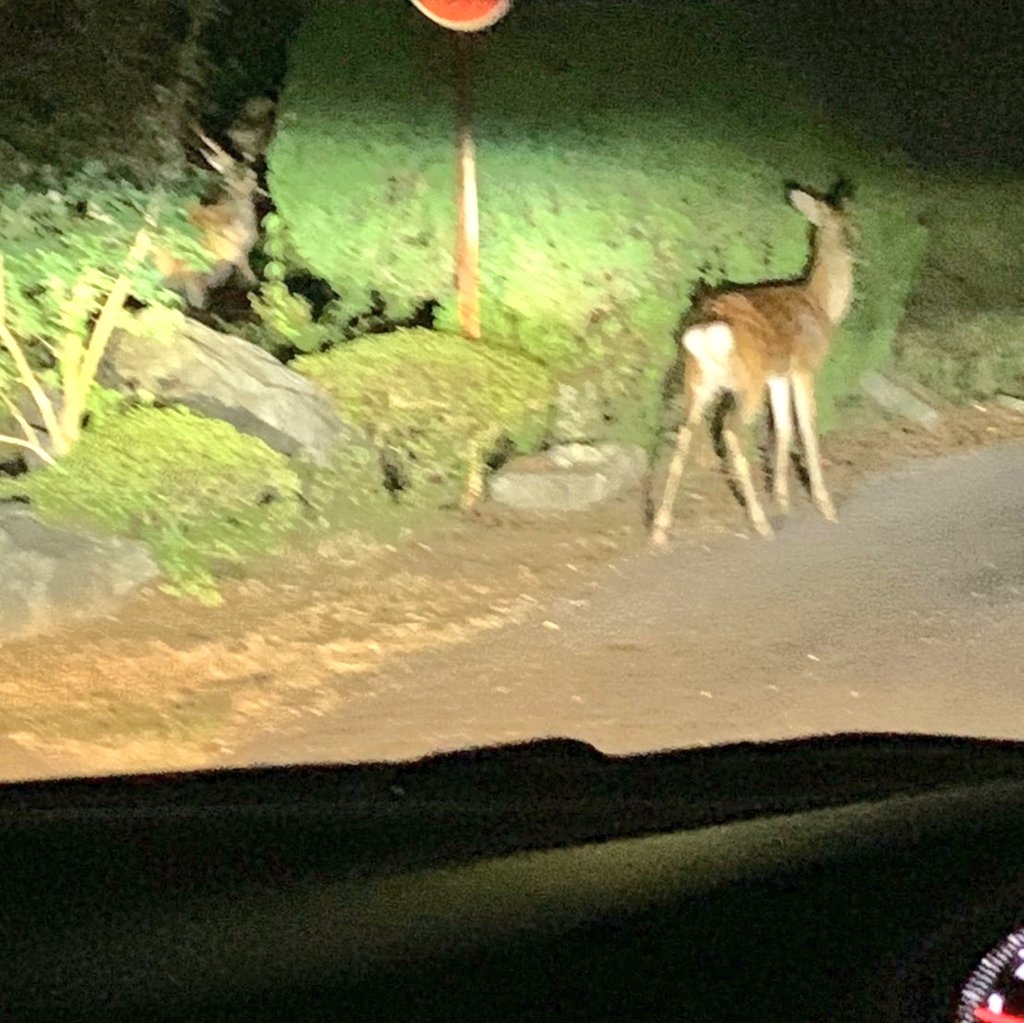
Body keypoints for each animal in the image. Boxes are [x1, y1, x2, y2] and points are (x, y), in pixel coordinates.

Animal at [651, 182, 855, 545]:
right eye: (844, 223)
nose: (855, 247)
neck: (821, 305)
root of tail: (707, 329)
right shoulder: (803, 367)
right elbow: (806, 428)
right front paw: (824, 504)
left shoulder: (778, 374)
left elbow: (783, 428)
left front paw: (782, 498)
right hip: (747, 383)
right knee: (730, 431)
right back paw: (760, 523)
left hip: (697, 381)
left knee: (685, 434)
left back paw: (660, 528)